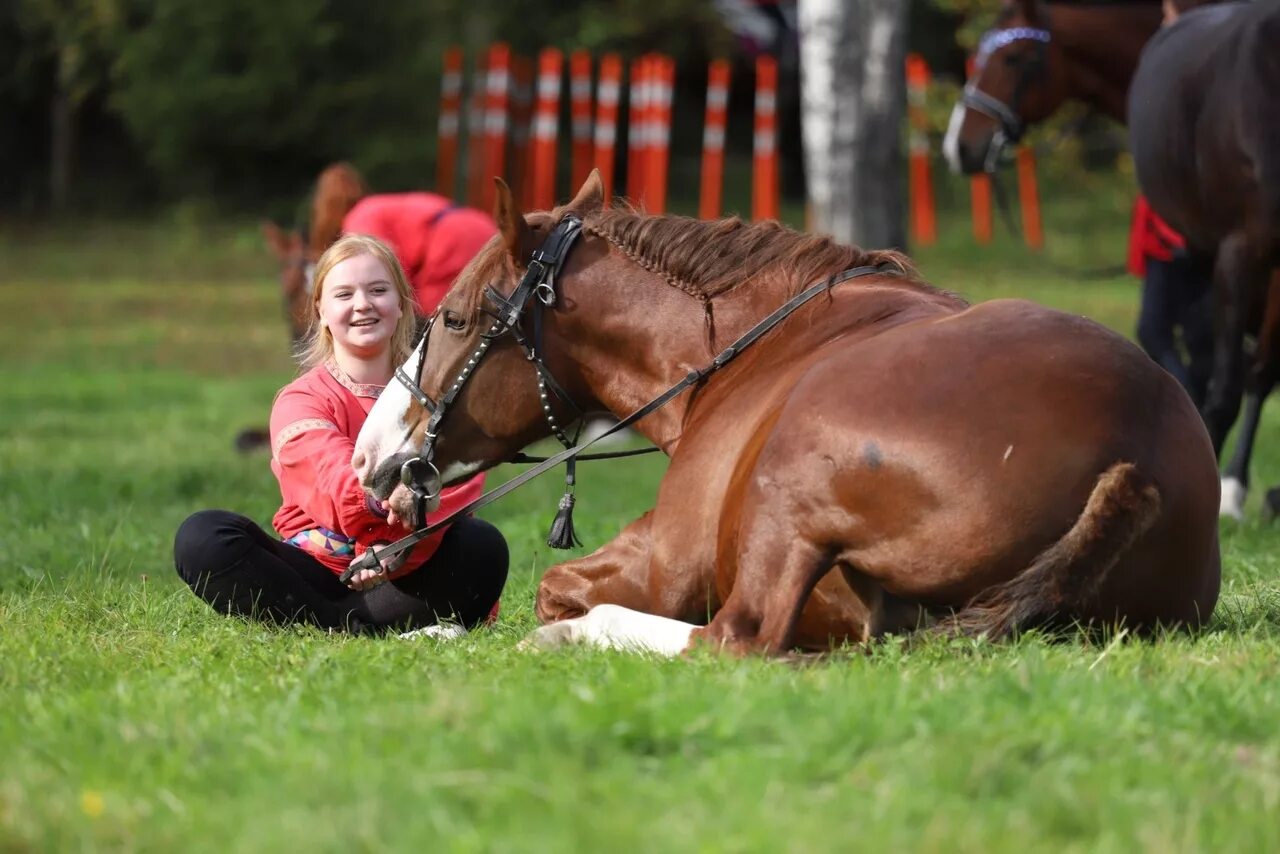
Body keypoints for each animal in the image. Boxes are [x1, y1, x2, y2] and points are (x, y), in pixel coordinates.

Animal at [350, 171, 1218, 655]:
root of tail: (1136, 463)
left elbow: (555, 587)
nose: (369, 456)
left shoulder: (666, 561)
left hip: (786, 493)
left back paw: (579, 636)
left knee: (739, 641)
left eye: (454, 318)